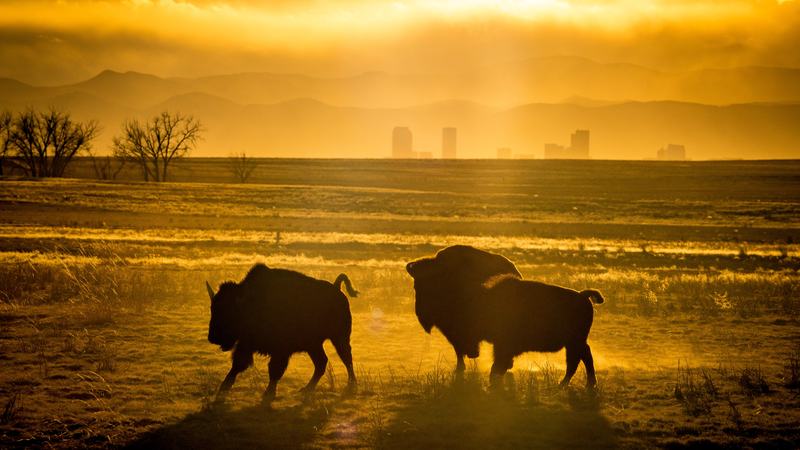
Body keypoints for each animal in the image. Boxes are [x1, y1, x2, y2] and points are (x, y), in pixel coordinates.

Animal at [206, 263, 358, 403]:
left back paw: (351, 386)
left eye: (229, 312)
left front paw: (269, 393)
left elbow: (274, 370)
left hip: (339, 338)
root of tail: (337, 288)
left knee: (346, 358)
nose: (212, 337)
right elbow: (237, 365)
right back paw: (306, 389)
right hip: (313, 345)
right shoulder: (246, 344)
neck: (250, 301)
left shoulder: (281, 350)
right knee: (321, 362)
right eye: (213, 309)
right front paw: (223, 389)